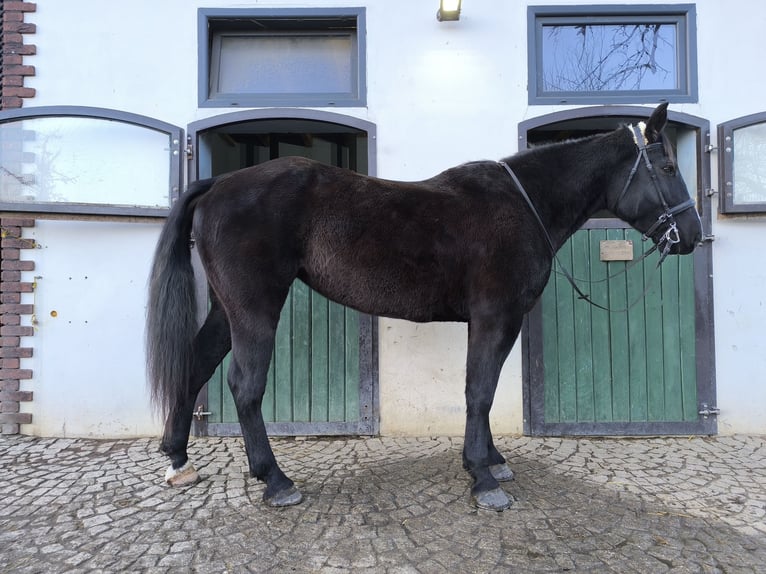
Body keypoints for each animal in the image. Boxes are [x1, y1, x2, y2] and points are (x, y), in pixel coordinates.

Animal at [146, 104, 704, 512]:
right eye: (668, 167)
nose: (693, 235)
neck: (523, 204)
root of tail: (219, 185)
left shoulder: (494, 322)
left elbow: (483, 391)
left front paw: (491, 460)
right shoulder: (496, 318)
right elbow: (480, 391)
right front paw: (483, 477)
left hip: (227, 309)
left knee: (197, 364)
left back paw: (179, 458)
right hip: (255, 307)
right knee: (245, 385)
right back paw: (276, 480)